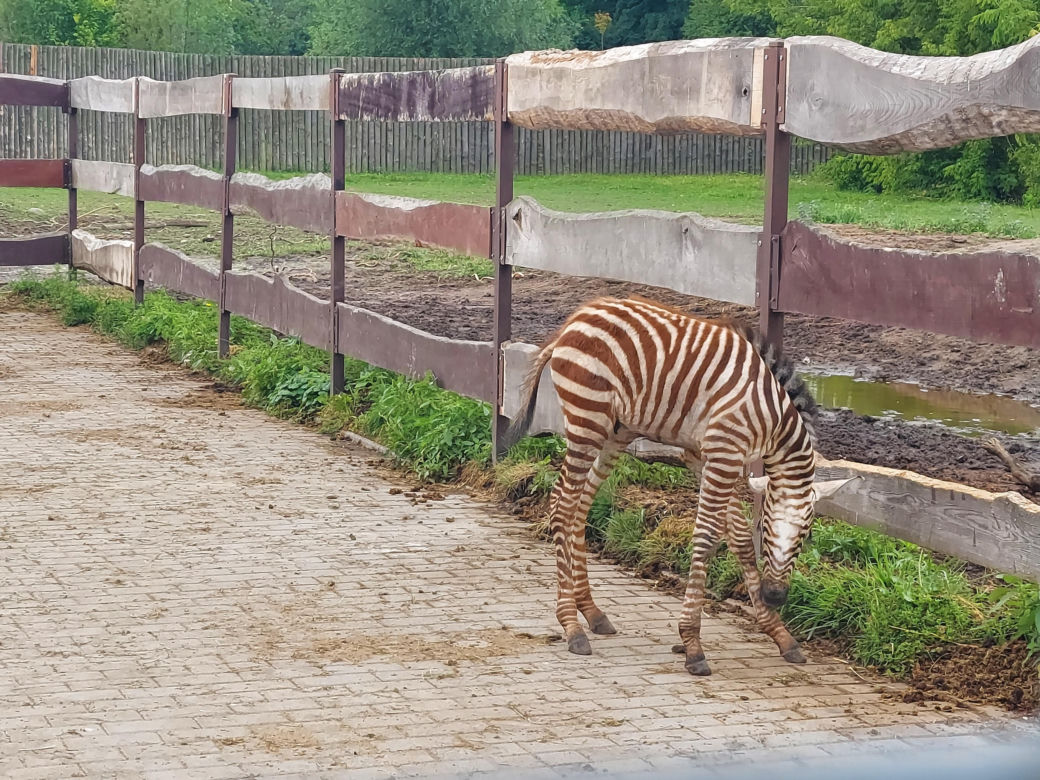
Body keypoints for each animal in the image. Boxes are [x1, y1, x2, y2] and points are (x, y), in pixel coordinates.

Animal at [505, 295, 852, 676]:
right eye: (768, 528)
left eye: (806, 534)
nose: (775, 595)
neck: (772, 419)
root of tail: (576, 318)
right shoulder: (724, 453)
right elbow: (707, 538)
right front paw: (692, 645)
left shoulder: (707, 456)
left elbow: (740, 539)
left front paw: (779, 634)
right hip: (588, 419)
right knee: (562, 504)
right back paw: (571, 626)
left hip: (616, 431)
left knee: (579, 508)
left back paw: (592, 613)